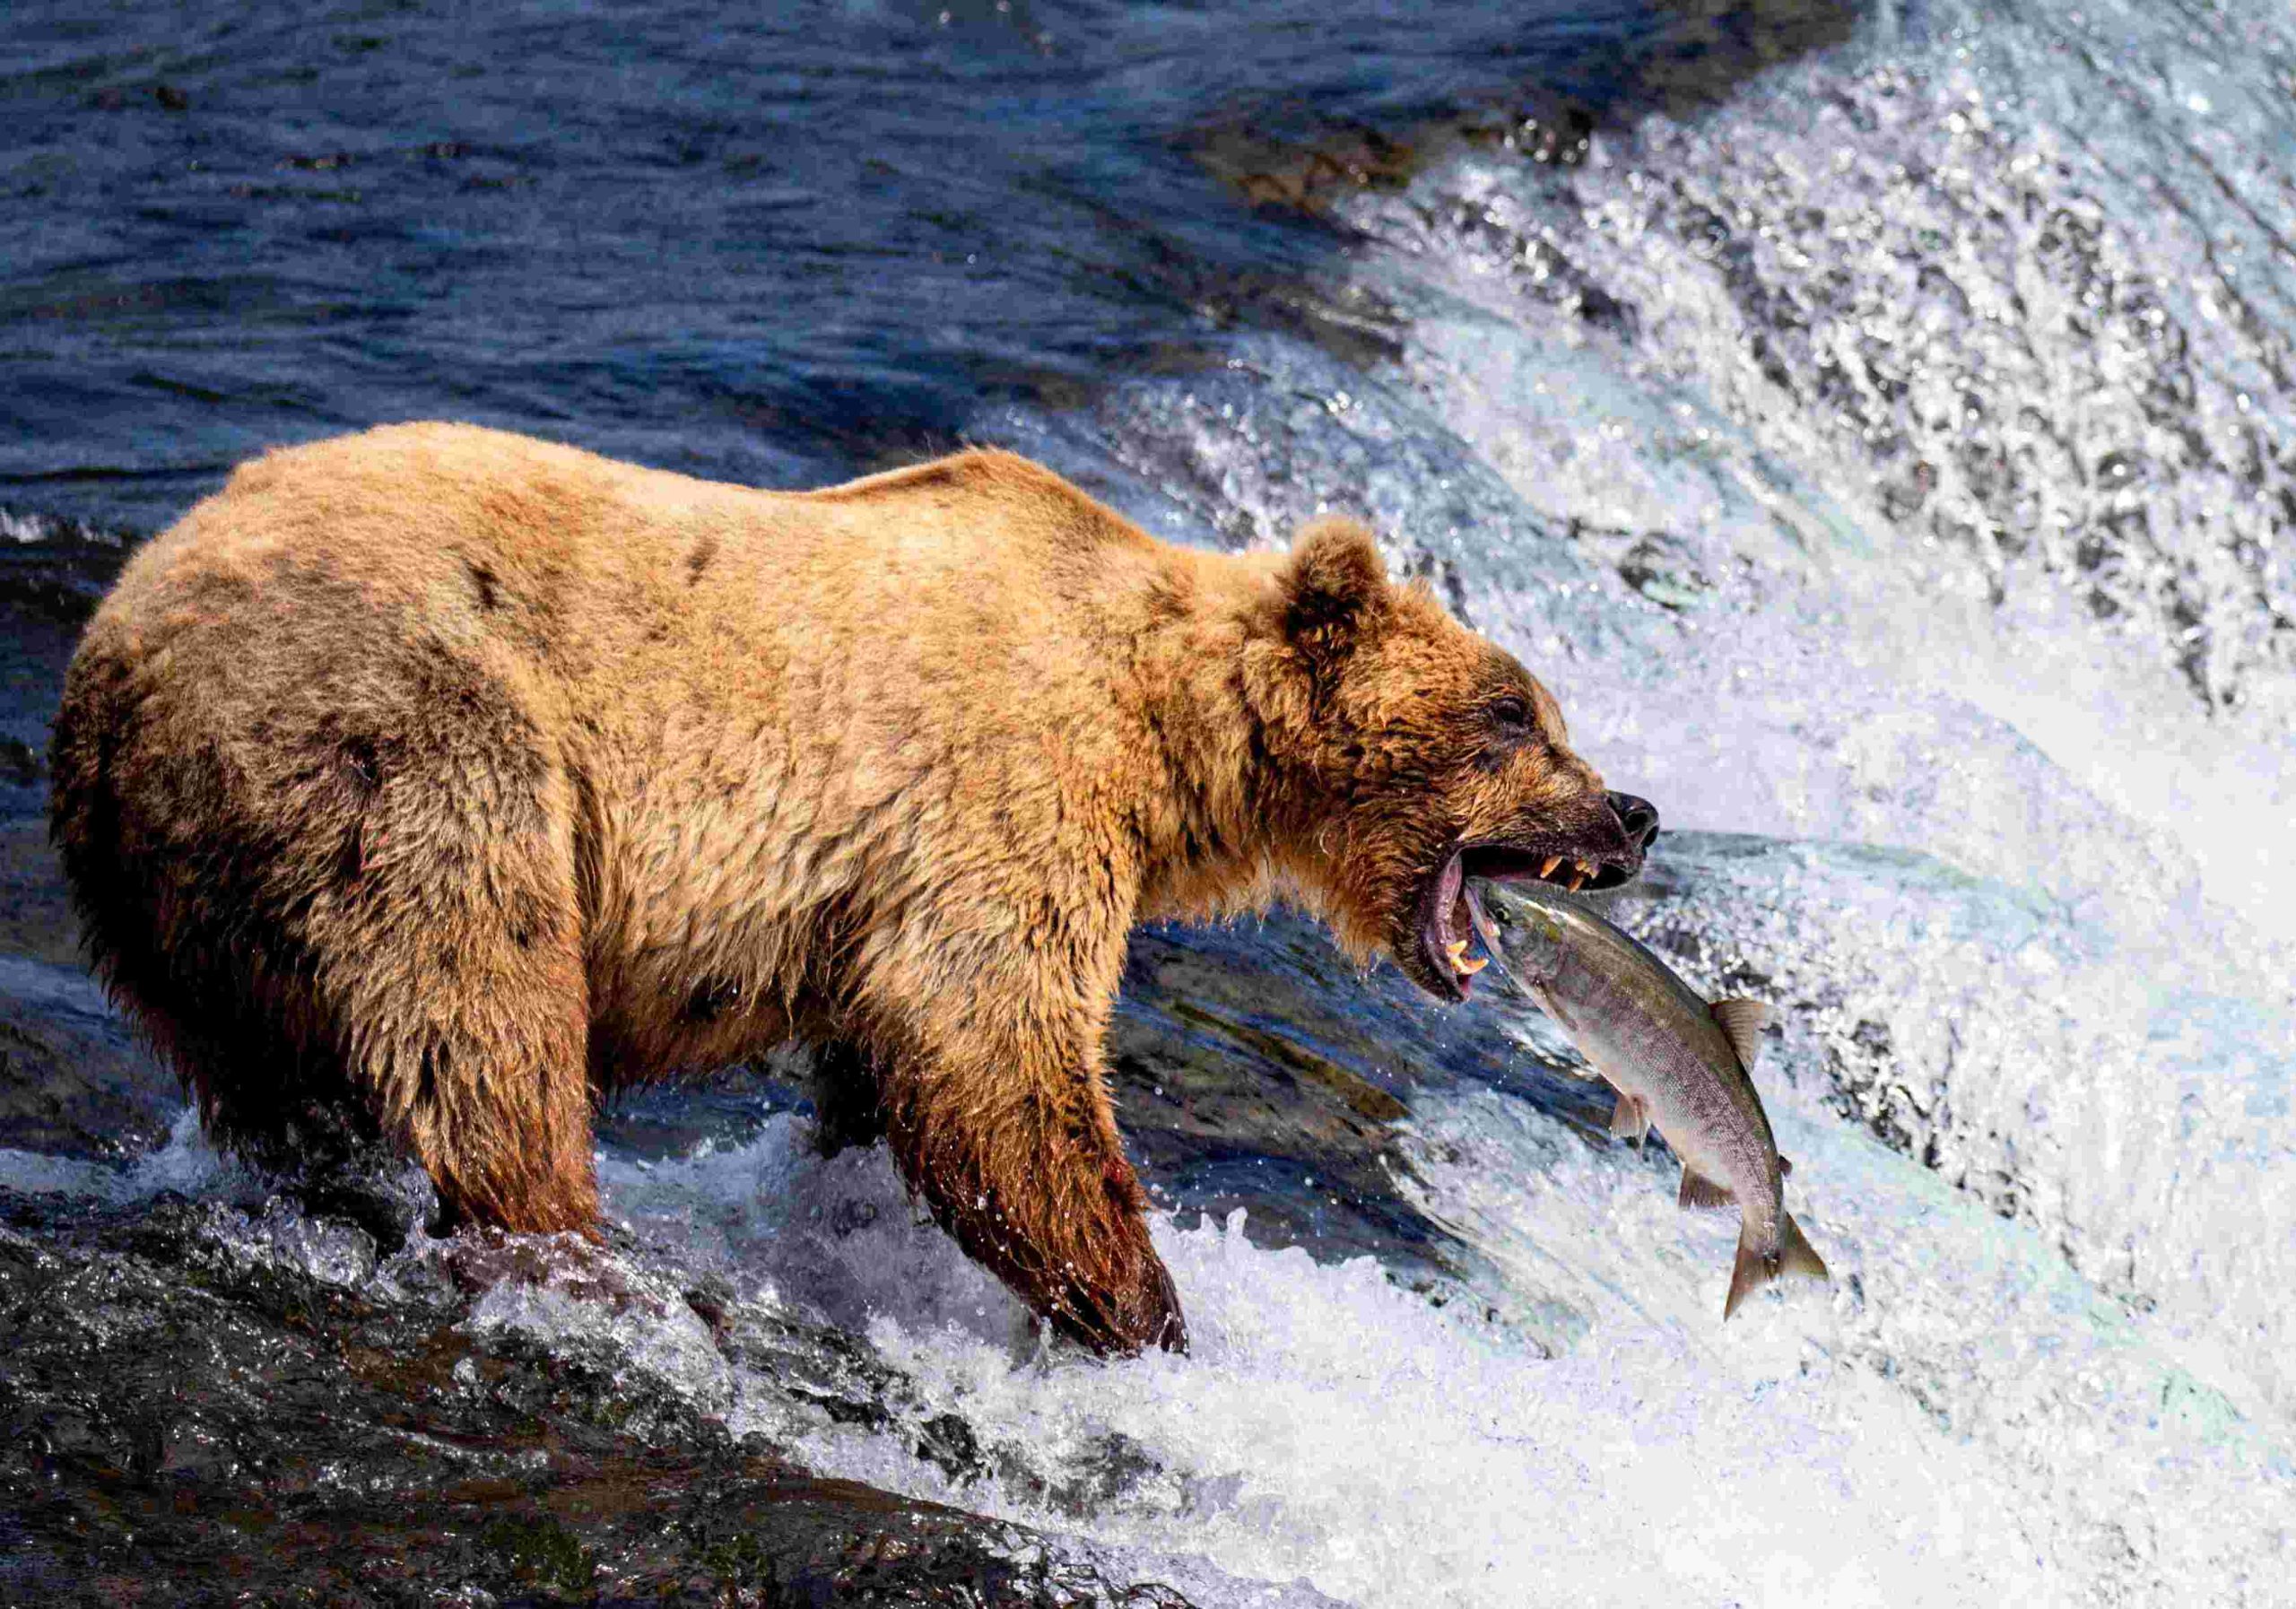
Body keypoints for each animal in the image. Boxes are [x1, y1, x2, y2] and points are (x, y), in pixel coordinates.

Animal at [49, 420, 1653, 1349]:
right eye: (1516, 715)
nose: (1634, 814)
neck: (1168, 737)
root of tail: (120, 643)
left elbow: (891, 1065)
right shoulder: (1004, 785)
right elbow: (989, 1046)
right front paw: (1146, 1308)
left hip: (175, 882)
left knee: (263, 1062)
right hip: (406, 728)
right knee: (481, 997)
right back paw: (573, 1250)